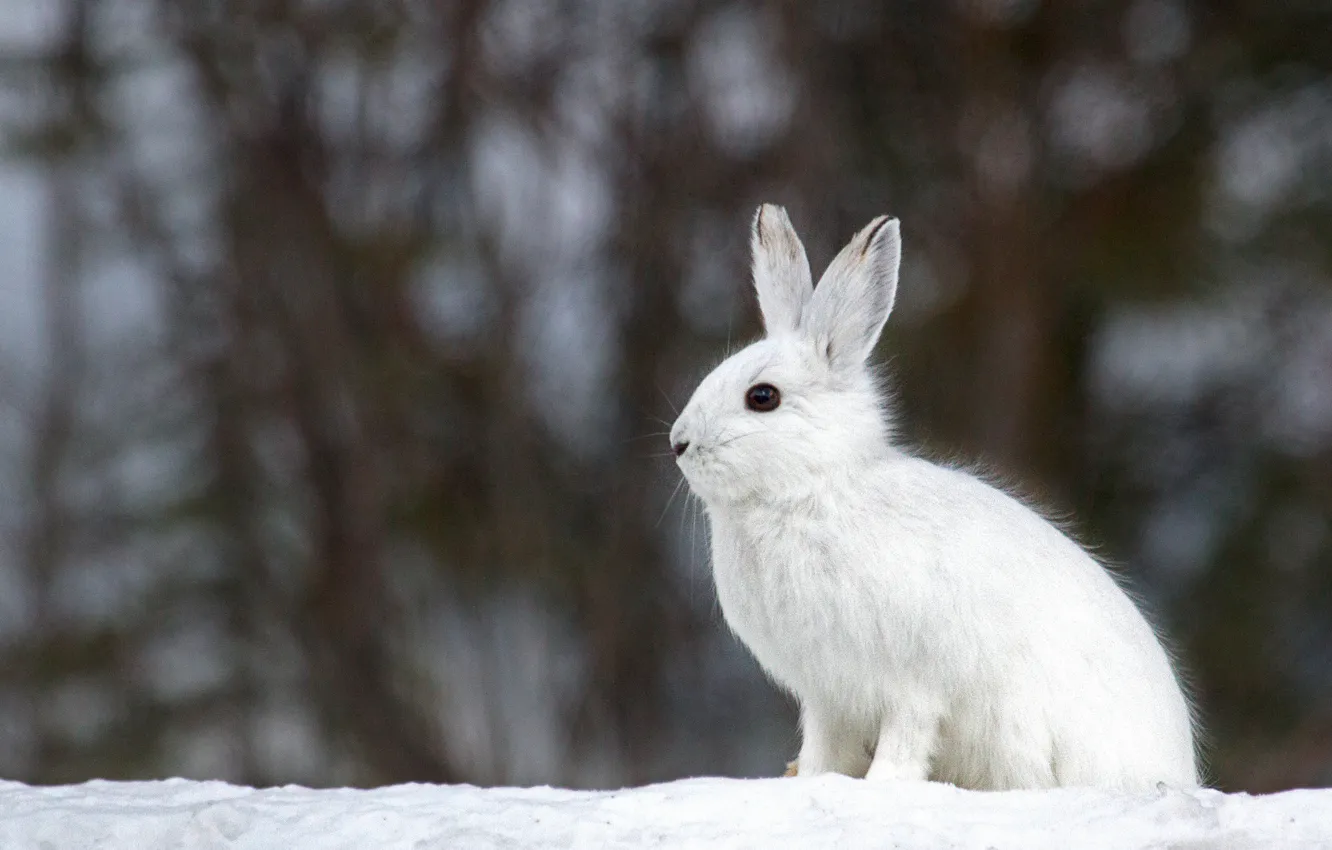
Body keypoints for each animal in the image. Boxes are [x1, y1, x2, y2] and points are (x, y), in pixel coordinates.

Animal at [668, 205, 1199, 791]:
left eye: (762, 397)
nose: (678, 443)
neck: (809, 489)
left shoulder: (911, 684)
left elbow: (906, 737)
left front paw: (882, 786)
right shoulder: (828, 696)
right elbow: (823, 750)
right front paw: (810, 780)